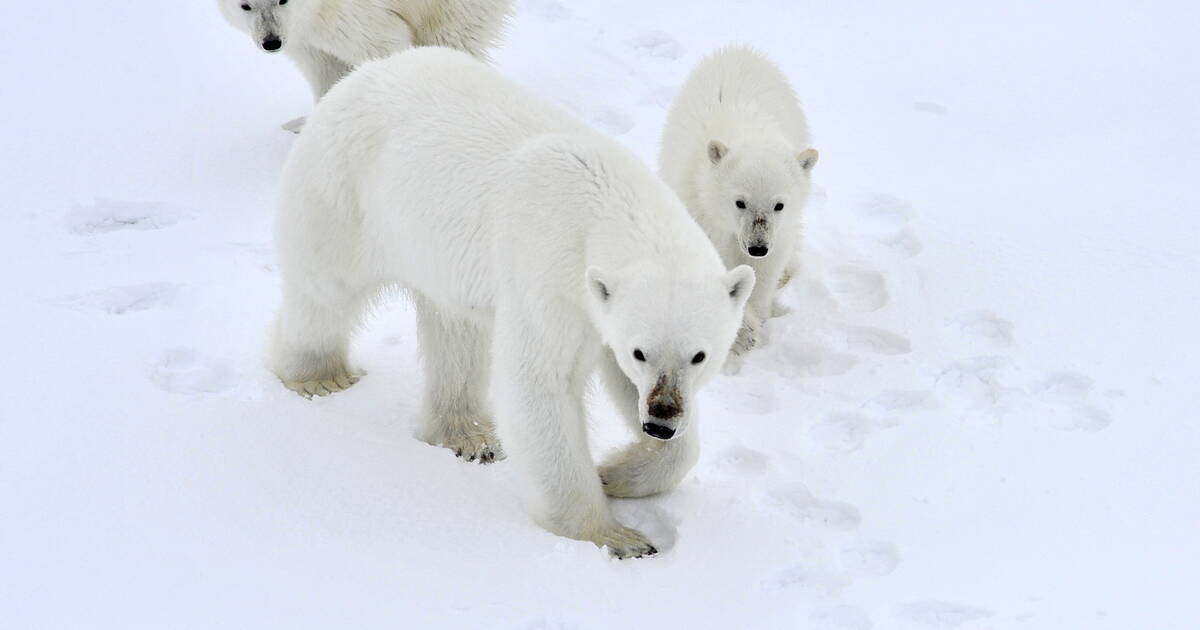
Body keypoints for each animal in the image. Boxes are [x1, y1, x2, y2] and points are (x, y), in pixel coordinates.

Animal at [218, 0, 508, 123]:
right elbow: (324, 69)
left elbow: (385, 47)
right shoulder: (304, 37)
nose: (271, 41)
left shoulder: (353, 15)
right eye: (245, 5)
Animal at [274, 50, 748, 559]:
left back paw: (469, 434)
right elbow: (541, 382)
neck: (609, 202)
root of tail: (362, 74)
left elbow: (629, 390)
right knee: (324, 291)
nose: (659, 422)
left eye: (700, 355)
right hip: (344, 191)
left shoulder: (601, 310)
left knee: (456, 332)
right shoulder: (550, 274)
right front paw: (617, 537)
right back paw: (319, 376)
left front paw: (615, 472)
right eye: (641, 351)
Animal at [657, 45, 816, 362]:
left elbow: (766, 271)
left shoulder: (779, 232)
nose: (757, 247)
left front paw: (753, 323)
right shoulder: (702, 211)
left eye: (779, 205)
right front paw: (741, 333)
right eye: (739, 202)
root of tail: (739, 49)